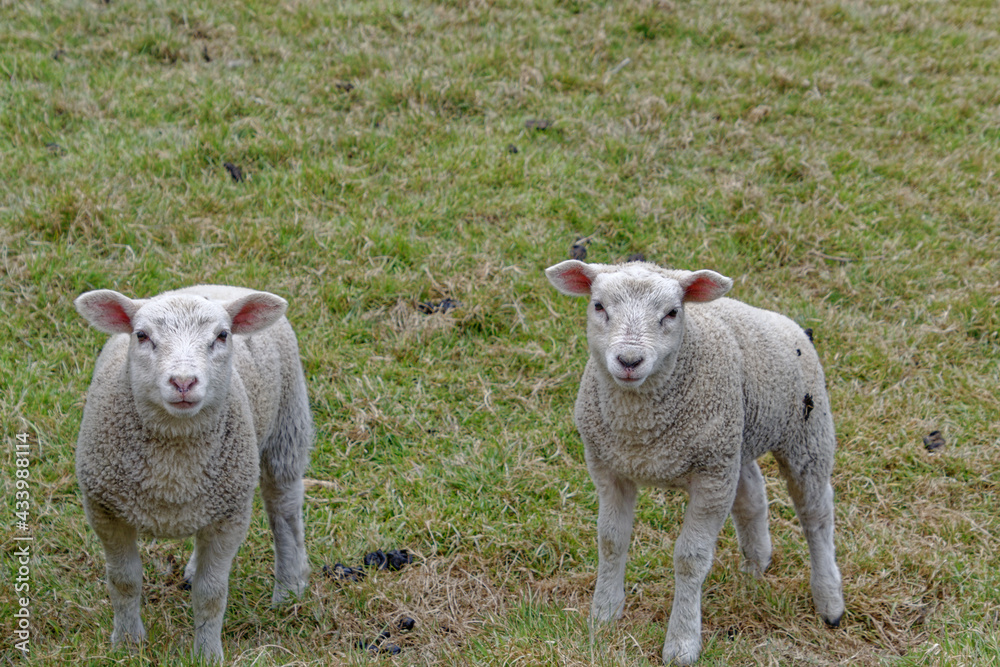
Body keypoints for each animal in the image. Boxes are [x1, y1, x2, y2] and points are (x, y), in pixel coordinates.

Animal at [74, 285, 313, 662]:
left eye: (222, 336)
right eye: (141, 336)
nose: (183, 381)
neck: (174, 467)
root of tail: (224, 286)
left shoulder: (231, 515)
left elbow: (211, 592)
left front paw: (207, 654)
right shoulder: (105, 509)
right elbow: (124, 581)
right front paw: (127, 644)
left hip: (287, 425)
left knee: (284, 510)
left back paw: (289, 587)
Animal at [545, 260, 844, 666]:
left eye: (672, 313)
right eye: (598, 306)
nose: (629, 361)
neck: (640, 429)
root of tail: (792, 325)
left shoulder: (710, 479)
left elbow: (690, 559)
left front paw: (682, 642)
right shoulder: (608, 467)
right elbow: (611, 541)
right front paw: (604, 614)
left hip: (805, 437)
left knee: (816, 515)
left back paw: (830, 601)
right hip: (734, 441)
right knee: (752, 495)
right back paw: (756, 565)